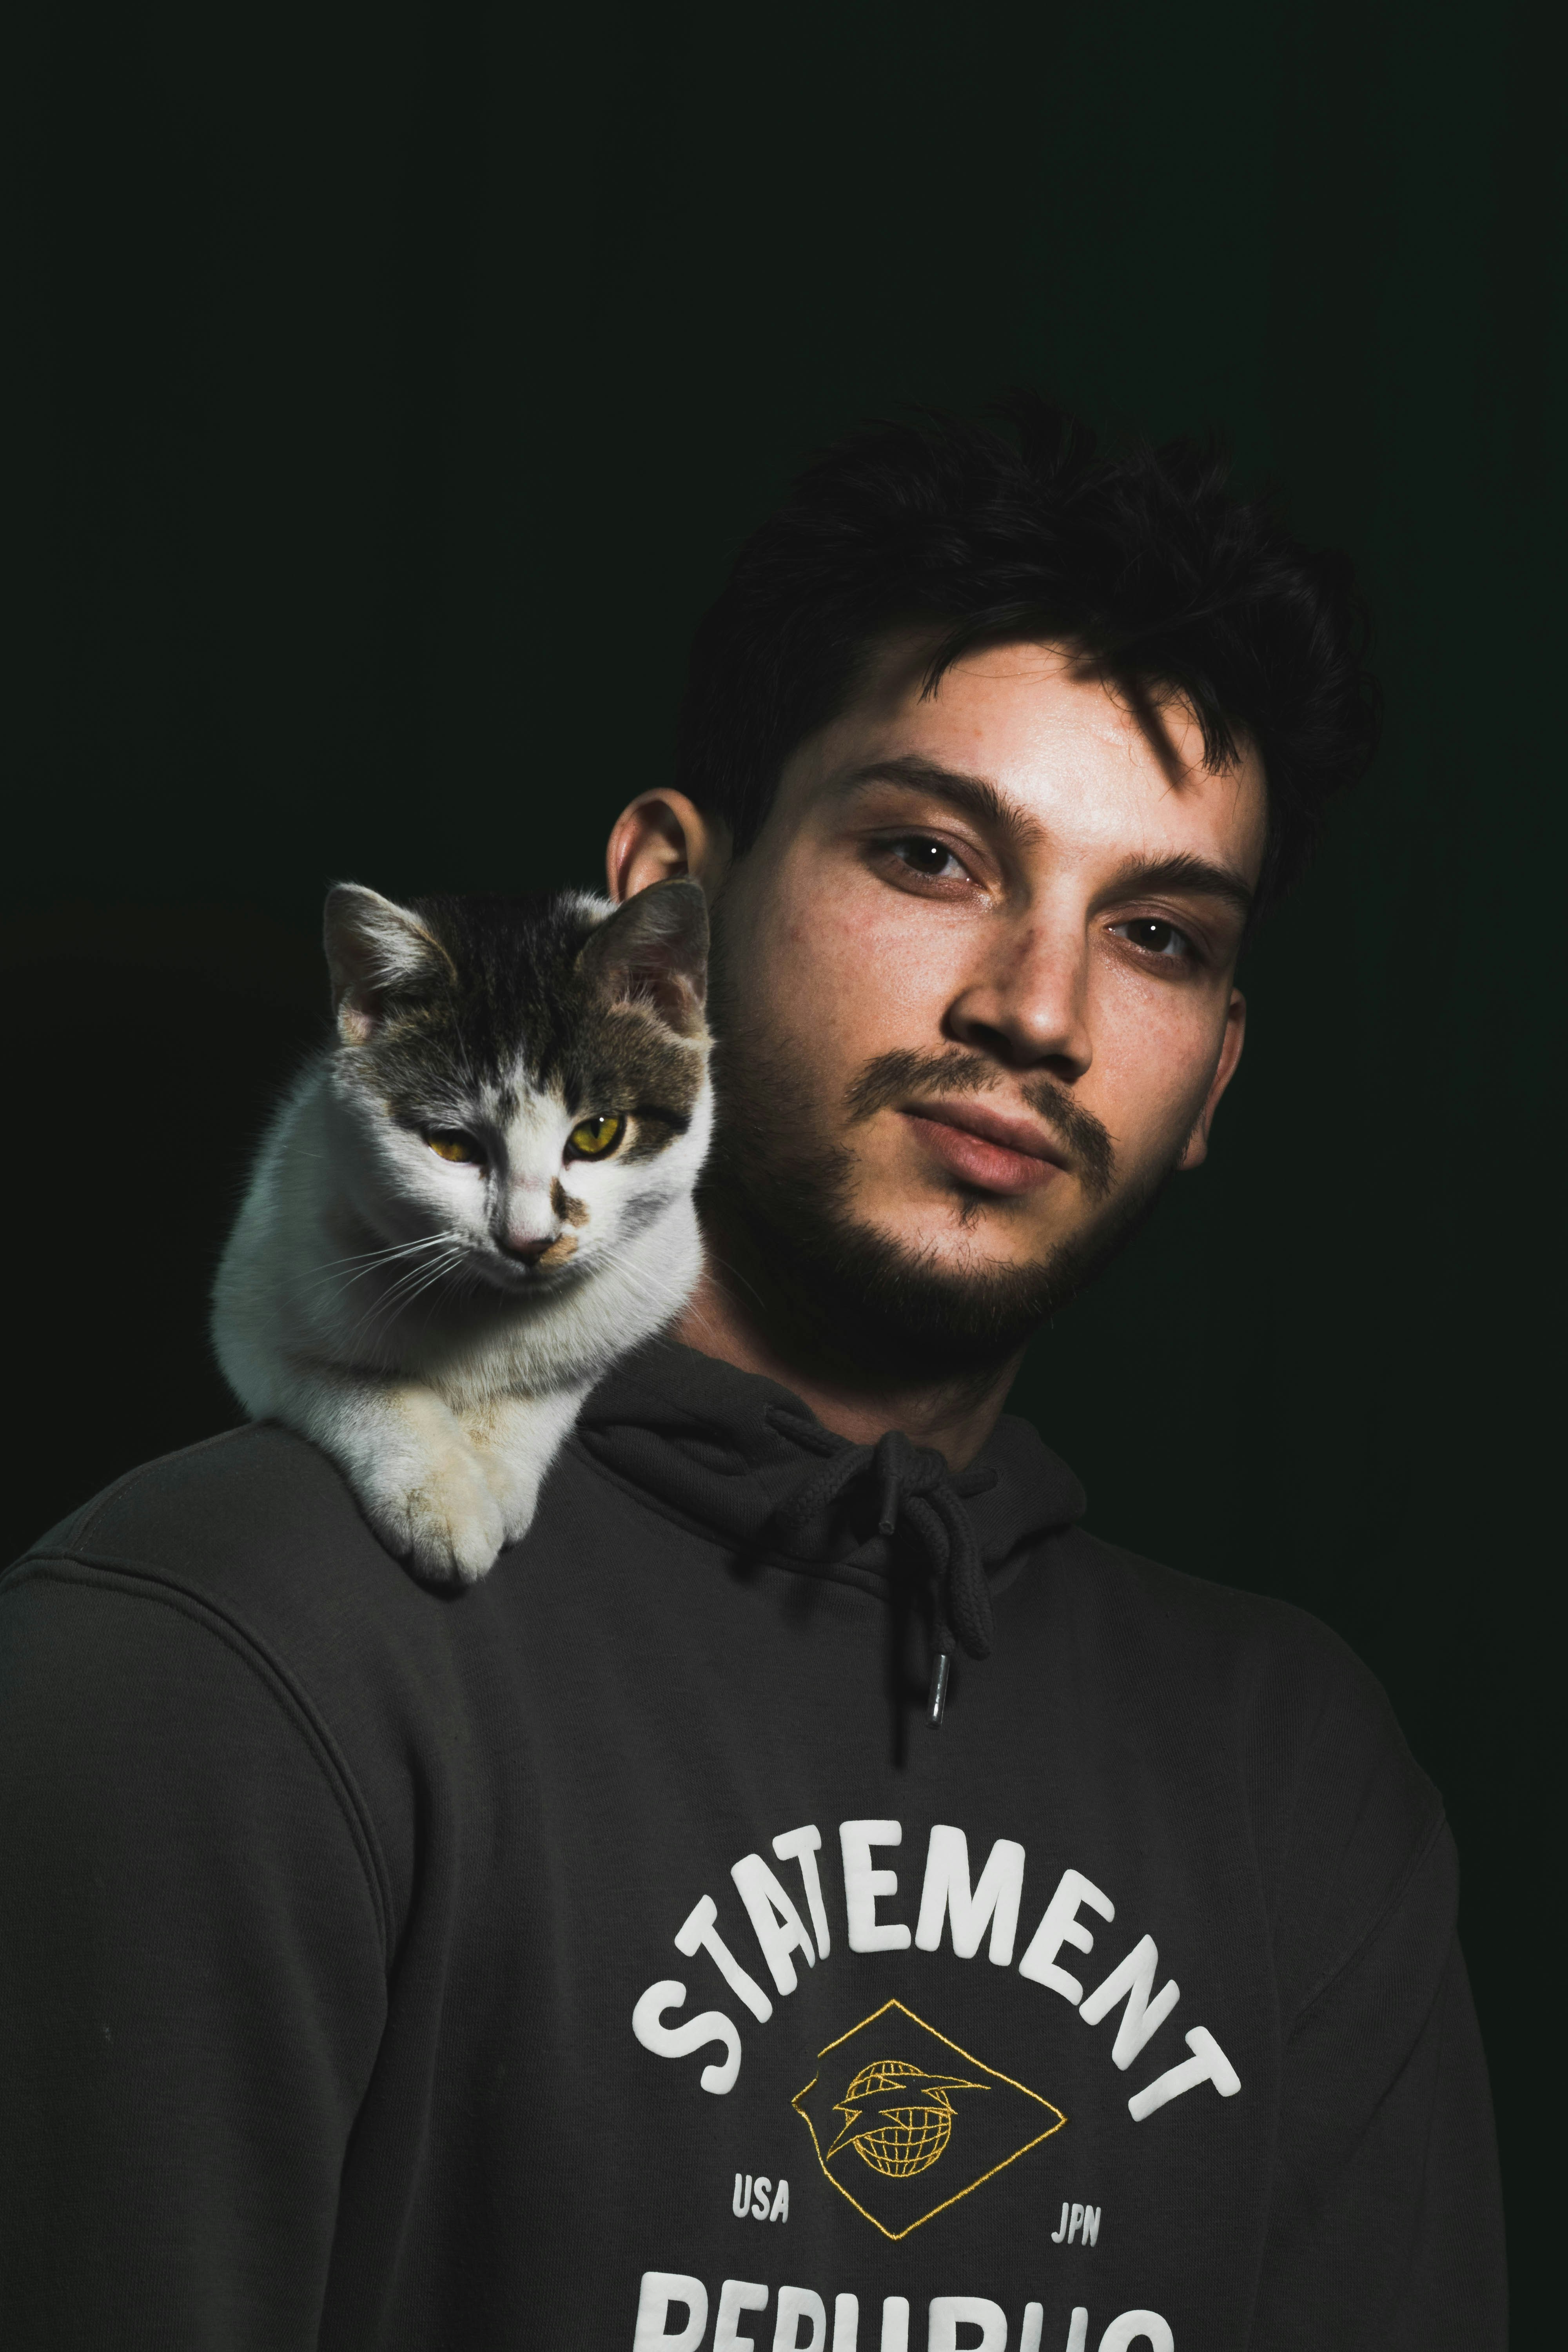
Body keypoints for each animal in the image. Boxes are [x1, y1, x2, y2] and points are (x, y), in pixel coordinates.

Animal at [211, 880, 715, 1581]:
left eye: (597, 1134)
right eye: (452, 1145)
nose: (529, 1241)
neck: (488, 1312)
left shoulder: (655, 1275)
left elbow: (557, 1378)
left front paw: (497, 1468)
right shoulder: (254, 1312)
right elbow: (359, 1386)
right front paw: (443, 1495)